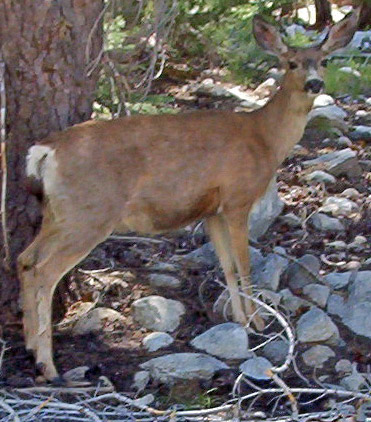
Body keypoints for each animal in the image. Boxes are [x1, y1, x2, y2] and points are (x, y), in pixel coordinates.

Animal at [18, 12, 360, 382]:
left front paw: (240, 319)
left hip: (59, 214)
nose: (315, 84)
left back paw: (30, 347)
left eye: (323, 61)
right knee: (44, 272)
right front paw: (258, 322)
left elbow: (227, 266)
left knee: (25, 260)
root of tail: (46, 151)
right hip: (91, 213)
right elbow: (245, 265)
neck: (265, 139)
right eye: (292, 63)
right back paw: (48, 364)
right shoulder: (238, 198)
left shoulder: (212, 210)